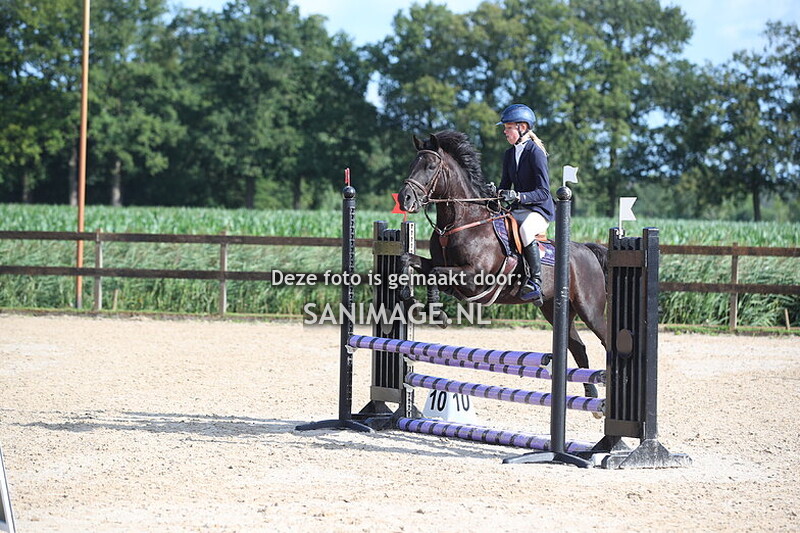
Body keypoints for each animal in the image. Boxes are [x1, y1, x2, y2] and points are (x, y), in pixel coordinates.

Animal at [397, 131, 608, 401]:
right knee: (577, 346)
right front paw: (407, 296)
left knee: (606, 340)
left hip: (590, 310)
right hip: (554, 309)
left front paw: (436, 312)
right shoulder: (441, 265)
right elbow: (409, 260)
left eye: (431, 166)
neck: (460, 221)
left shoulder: (475, 278)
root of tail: (587, 250)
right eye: (413, 164)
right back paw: (590, 393)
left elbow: (435, 274)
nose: (405, 199)